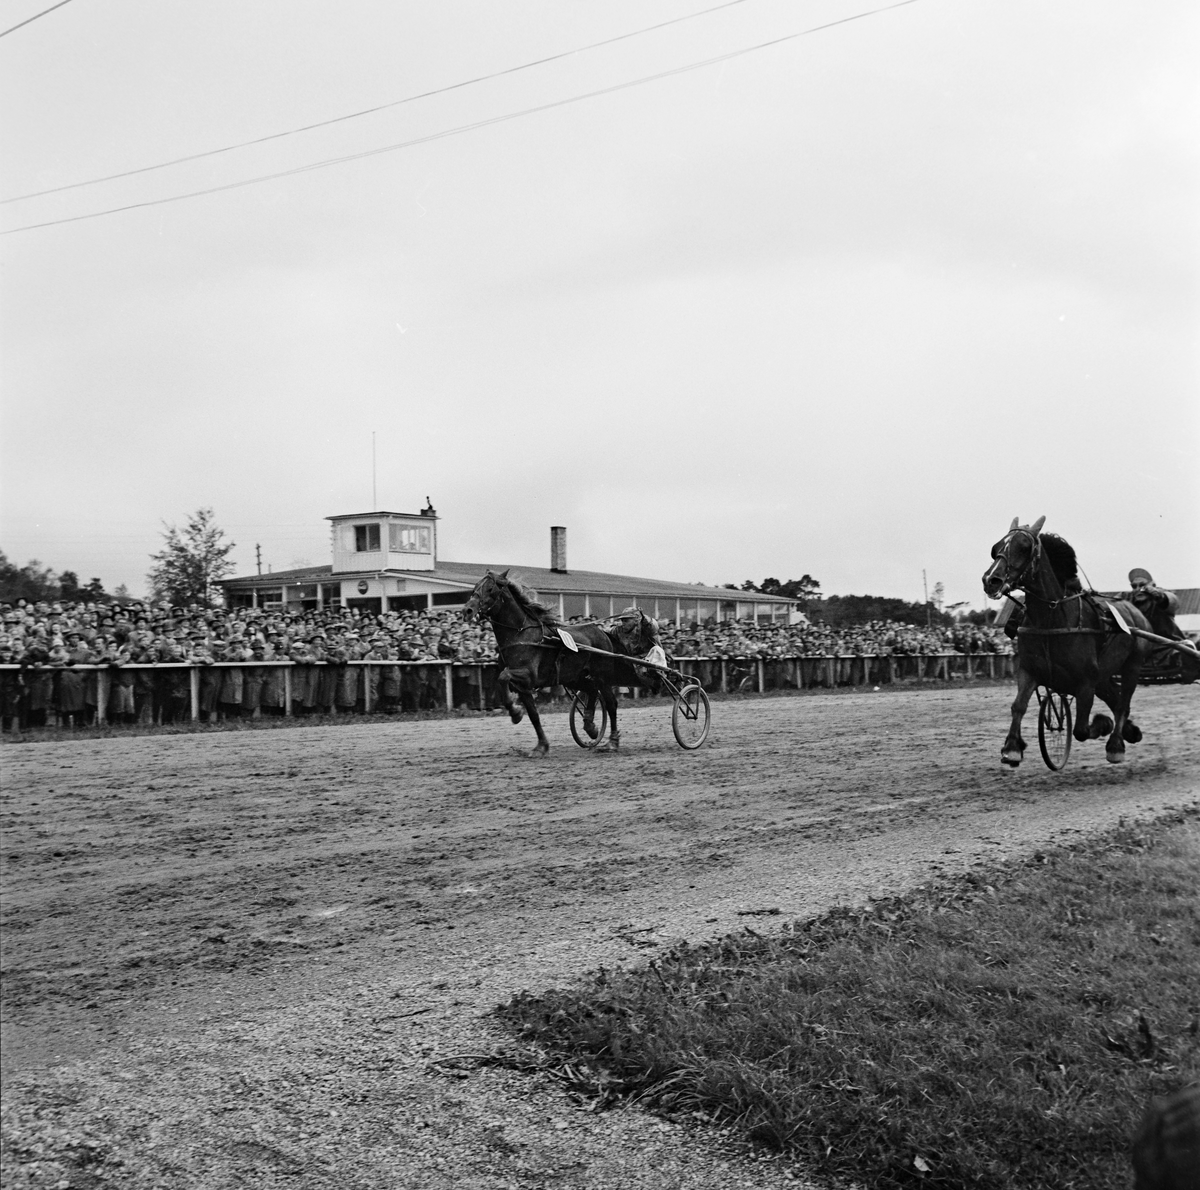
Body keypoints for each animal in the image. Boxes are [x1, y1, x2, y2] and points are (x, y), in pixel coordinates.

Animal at [458, 573, 638, 758]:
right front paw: (540, 744)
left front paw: (516, 713)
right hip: (575, 677)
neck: (520, 634)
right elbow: (533, 714)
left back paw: (612, 742)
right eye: (475, 587)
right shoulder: (523, 686)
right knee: (592, 690)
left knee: (610, 703)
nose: (467, 611)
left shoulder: (528, 676)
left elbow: (503, 677)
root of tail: (603, 632)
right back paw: (590, 726)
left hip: (602, 676)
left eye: (490, 588)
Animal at [984, 515, 1152, 767]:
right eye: (995, 549)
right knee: (1115, 698)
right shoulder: (1029, 670)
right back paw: (1130, 731)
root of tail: (1136, 611)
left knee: (1122, 703)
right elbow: (1018, 706)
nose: (990, 580)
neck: (1052, 618)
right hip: (1103, 675)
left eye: (1024, 547)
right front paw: (1012, 747)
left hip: (1132, 665)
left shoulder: (1086, 681)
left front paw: (1103, 724)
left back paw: (1115, 744)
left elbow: (1081, 730)